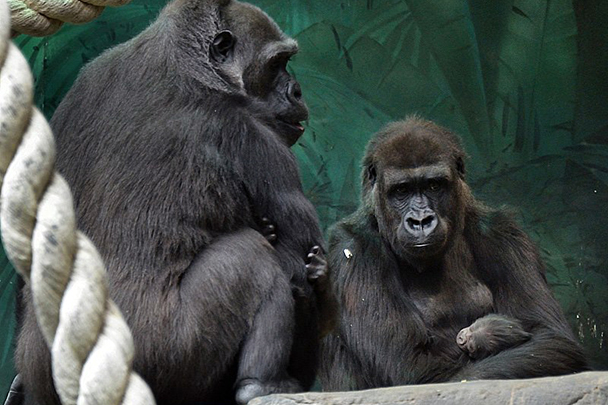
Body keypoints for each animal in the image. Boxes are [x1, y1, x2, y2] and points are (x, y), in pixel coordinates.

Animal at [14, 0, 328, 404]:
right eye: (276, 64)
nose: (297, 92)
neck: (187, 63)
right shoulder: (256, 137)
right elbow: (305, 272)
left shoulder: (80, 86)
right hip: (166, 354)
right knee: (251, 256)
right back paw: (262, 383)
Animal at [320, 116, 588, 388]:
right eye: (402, 190)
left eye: (434, 185)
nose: (420, 221)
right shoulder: (354, 246)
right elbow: (413, 367)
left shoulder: (502, 232)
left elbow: (551, 337)